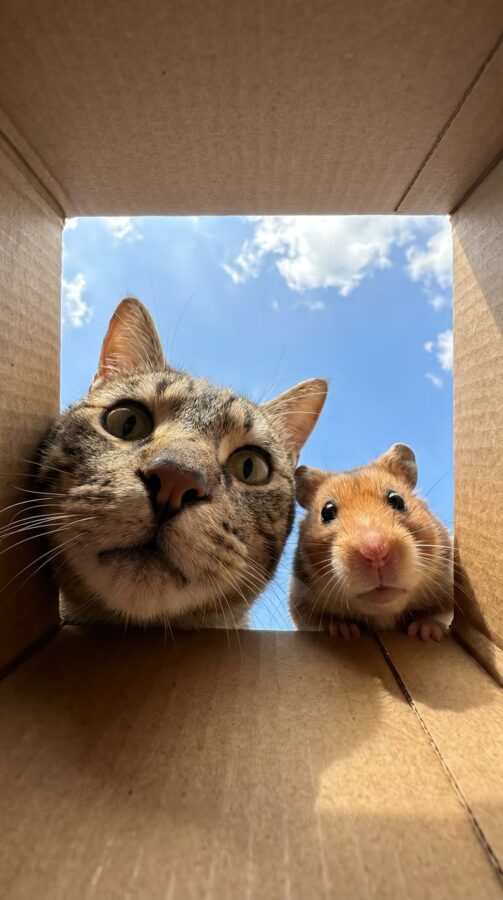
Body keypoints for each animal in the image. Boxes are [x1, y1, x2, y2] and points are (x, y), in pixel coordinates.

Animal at [290, 443, 453, 641]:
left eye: (397, 499)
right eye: (326, 512)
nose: (375, 550)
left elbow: (441, 614)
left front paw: (426, 632)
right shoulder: (301, 604)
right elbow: (318, 622)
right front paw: (343, 631)